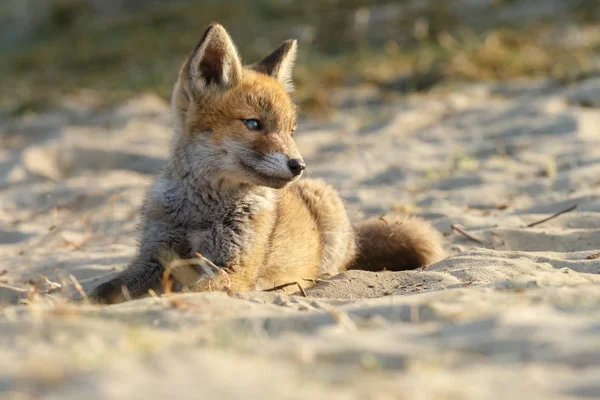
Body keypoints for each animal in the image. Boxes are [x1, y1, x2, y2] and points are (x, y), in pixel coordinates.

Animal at [90, 23, 446, 304]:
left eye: (291, 131)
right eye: (253, 124)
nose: (298, 165)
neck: (201, 214)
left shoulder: (233, 267)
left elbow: (192, 293)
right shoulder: (152, 259)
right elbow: (99, 292)